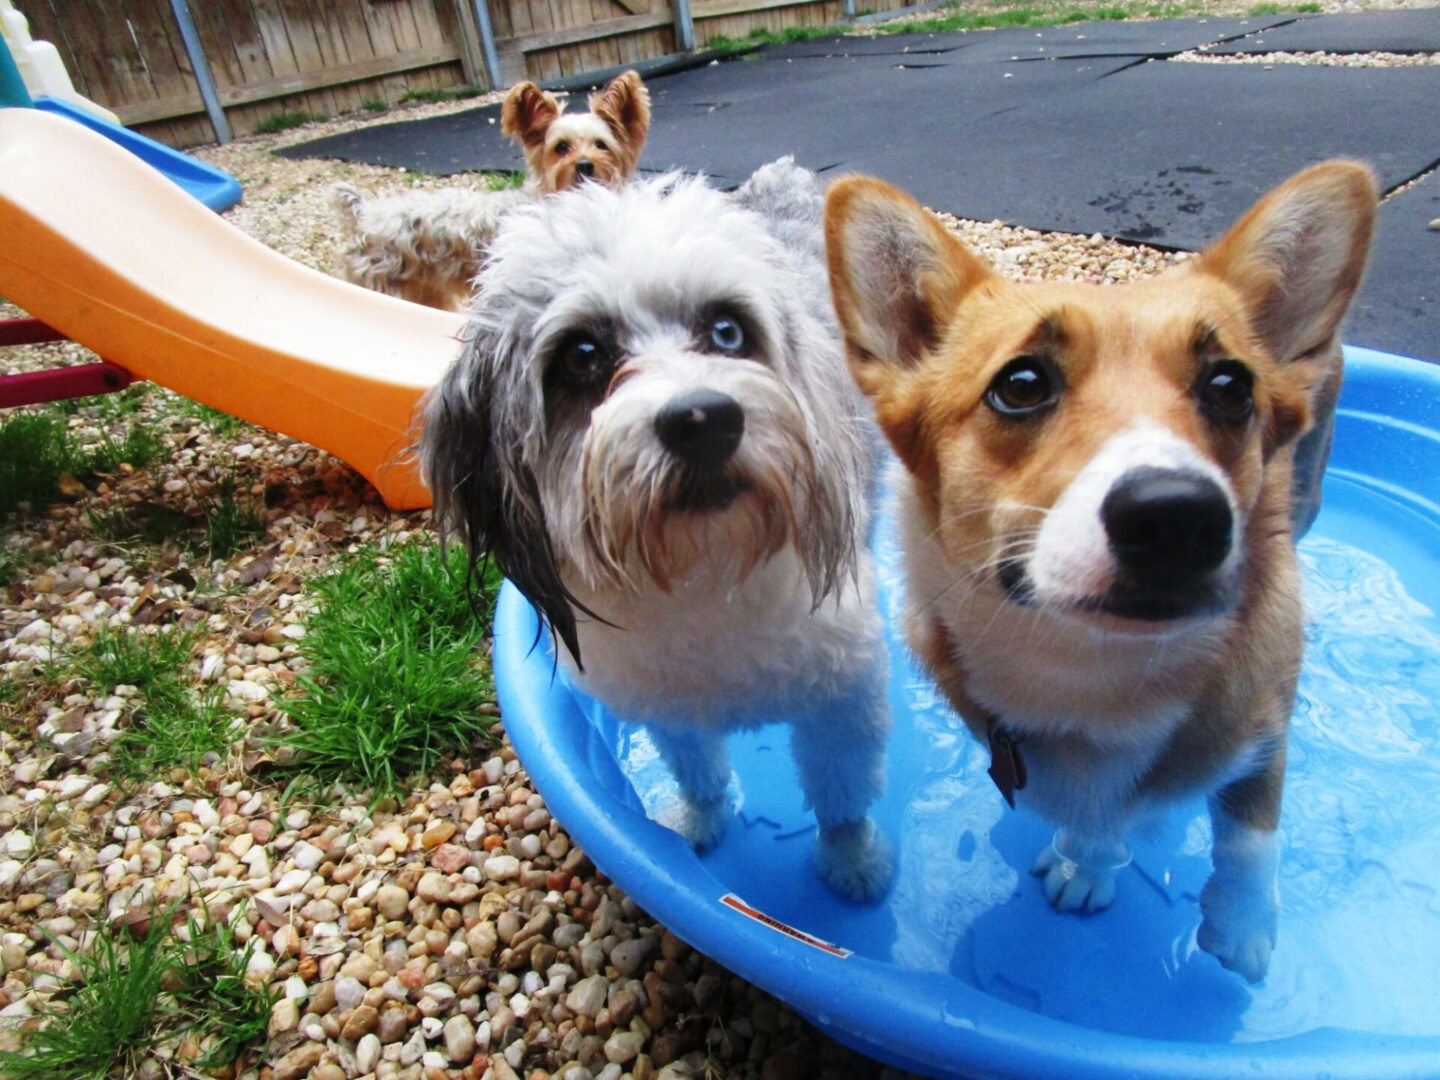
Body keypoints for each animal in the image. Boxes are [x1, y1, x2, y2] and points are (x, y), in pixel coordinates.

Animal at [417, 160, 892, 904]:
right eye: (583, 355)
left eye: (727, 332)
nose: (704, 419)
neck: (705, 577)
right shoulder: (666, 705)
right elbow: (696, 772)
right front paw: (694, 826)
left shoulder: (843, 696)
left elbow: (840, 797)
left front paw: (852, 862)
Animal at [823, 164, 1370, 984]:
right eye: (1021, 383)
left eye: (1231, 387)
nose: (1178, 517)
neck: (1093, 667)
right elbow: (1101, 820)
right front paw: (1089, 865)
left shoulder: (1264, 716)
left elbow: (1250, 836)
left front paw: (1242, 929)